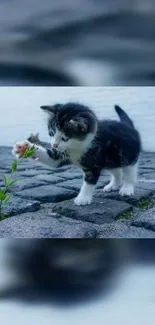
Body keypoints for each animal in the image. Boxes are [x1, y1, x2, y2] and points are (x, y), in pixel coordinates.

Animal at [12, 102, 142, 205]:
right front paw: (24, 148)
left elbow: (89, 180)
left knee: (129, 172)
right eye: (51, 133)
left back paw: (127, 188)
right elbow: (52, 159)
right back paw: (113, 185)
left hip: (128, 156)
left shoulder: (94, 162)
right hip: (110, 159)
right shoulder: (61, 154)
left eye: (64, 138)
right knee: (116, 171)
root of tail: (129, 127)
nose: (54, 145)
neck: (78, 147)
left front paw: (83, 198)